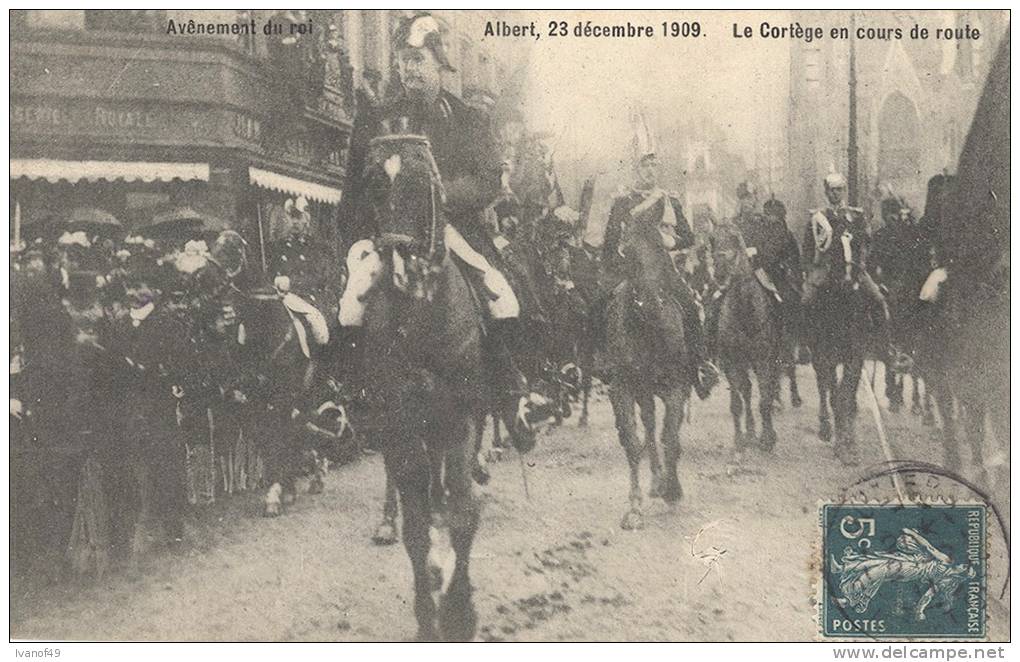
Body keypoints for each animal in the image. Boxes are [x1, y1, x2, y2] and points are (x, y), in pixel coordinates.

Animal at [344, 130, 495, 640]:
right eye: (372, 183)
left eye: (421, 182)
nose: (402, 270)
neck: (423, 317)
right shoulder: (398, 422)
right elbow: (414, 528)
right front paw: (429, 617)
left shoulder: (461, 416)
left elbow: (466, 513)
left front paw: (460, 612)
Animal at [599, 217, 689, 530]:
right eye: (629, 256)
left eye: (662, 252)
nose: (650, 302)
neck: (649, 331)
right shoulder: (623, 389)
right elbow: (632, 442)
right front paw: (635, 506)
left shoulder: (675, 387)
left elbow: (670, 437)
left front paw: (673, 491)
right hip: (643, 391)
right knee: (648, 426)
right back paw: (655, 481)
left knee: (660, 431)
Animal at [709, 222, 779, 454]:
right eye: (712, 239)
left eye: (734, 237)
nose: (720, 271)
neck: (744, 310)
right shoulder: (731, 360)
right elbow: (737, 403)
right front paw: (740, 439)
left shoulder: (762, 359)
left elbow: (765, 400)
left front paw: (767, 439)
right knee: (746, 391)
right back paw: (749, 433)